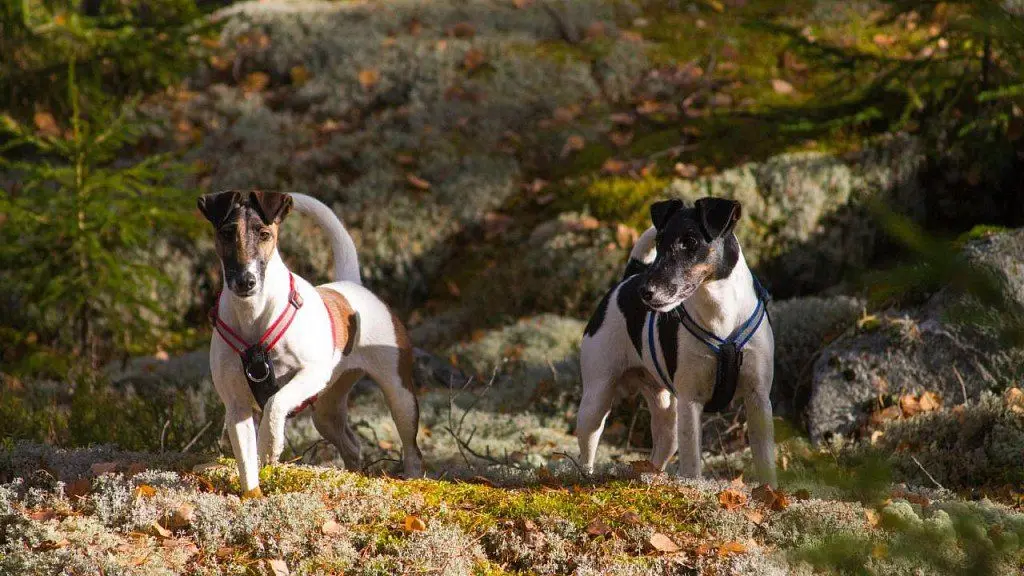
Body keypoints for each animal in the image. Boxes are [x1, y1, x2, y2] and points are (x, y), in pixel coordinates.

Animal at [197, 190, 421, 496]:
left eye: (265, 234)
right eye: (227, 233)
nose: (246, 281)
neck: (254, 316)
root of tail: (352, 286)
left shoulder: (310, 374)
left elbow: (275, 403)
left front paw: (270, 444)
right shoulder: (236, 408)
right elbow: (246, 463)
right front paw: (253, 496)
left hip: (400, 396)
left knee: (412, 449)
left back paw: (412, 477)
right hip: (327, 410)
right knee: (352, 445)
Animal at [577, 194, 774, 481]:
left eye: (690, 242)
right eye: (659, 243)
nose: (645, 292)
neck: (721, 314)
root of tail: (629, 277)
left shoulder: (758, 398)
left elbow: (765, 461)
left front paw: (769, 490)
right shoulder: (690, 402)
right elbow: (692, 463)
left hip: (665, 409)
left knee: (663, 445)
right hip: (596, 398)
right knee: (587, 449)